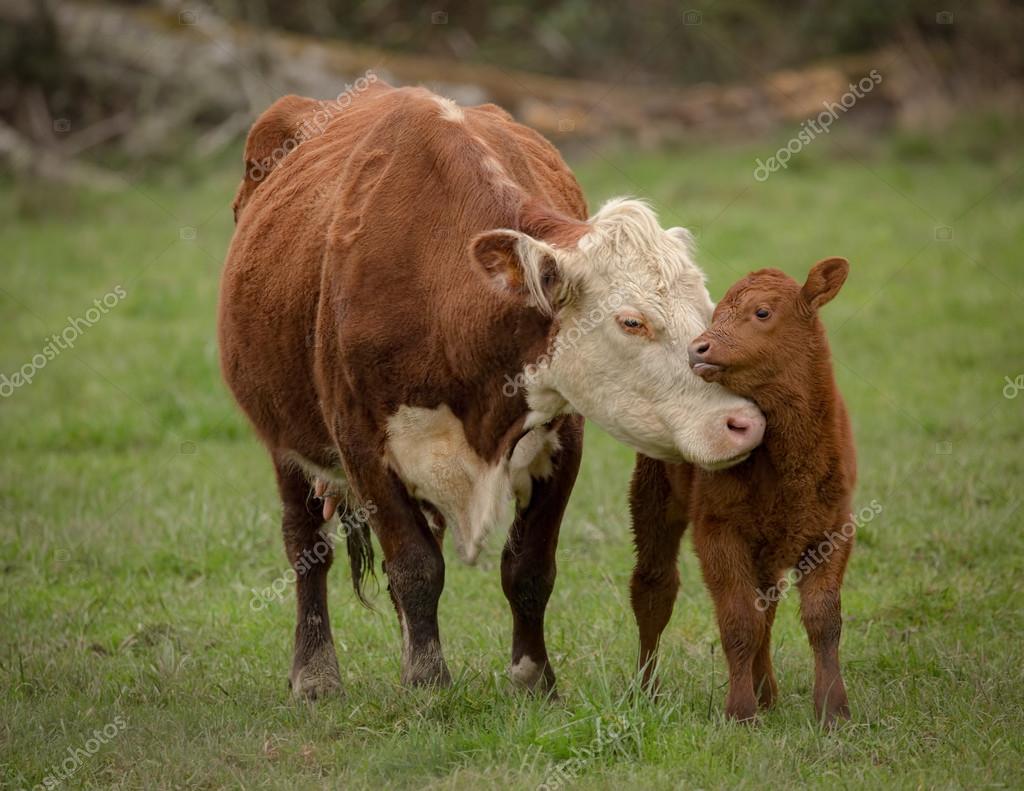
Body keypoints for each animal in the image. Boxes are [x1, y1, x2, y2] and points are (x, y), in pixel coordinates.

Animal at [218, 80, 766, 699]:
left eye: (706, 309)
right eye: (631, 321)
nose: (743, 423)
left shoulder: (563, 438)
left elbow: (527, 568)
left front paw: (532, 679)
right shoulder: (362, 445)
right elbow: (415, 566)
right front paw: (428, 683)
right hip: (284, 439)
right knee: (305, 544)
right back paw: (314, 673)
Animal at [628, 258, 855, 725]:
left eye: (762, 312)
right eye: (714, 315)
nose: (698, 348)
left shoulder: (834, 530)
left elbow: (823, 621)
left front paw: (833, 710)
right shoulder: (718, 530)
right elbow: (738, 621)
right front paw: (740, 712)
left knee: (767, 604)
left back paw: (767, 692)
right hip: (653, 496)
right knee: (654, 590)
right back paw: (646, 691)